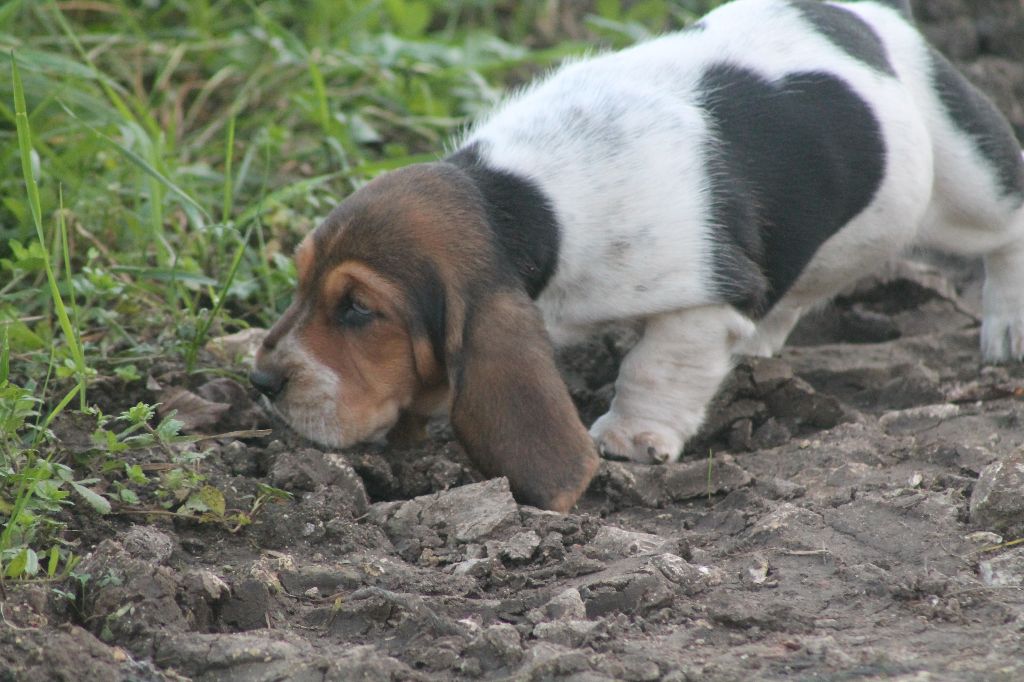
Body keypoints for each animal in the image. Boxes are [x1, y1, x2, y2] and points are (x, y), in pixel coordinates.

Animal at [251, 0, 1024, 509]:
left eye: (359, 309)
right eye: (300, 283)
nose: (260, 382)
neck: (522, 200)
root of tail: (868, 16)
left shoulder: (705, 300)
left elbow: (658, 367)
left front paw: (631, 436)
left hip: (962, 176)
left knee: (1006, 222)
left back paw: (1008, 329)